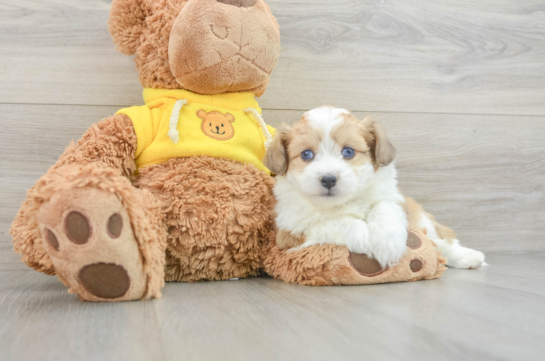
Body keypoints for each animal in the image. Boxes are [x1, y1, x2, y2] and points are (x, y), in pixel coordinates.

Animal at [264, 105, 484, 268]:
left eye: (348, 152)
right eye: (306, 154)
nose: (328, 179)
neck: (341, 202)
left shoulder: (393, 198)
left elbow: (384, 208)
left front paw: (388, 243)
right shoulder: (289, 232)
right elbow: (333, 222)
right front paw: (362, 236)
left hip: (421, 218)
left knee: (440, 242)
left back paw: (467, 256)